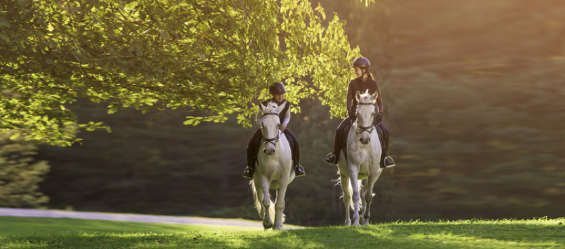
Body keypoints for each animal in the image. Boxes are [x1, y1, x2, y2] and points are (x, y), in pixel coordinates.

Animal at [250, 100, 296, 230]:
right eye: (263, 125)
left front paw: (278, 226)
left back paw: (277, 224)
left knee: (277, 203)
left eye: (278, 124)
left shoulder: (284, 179)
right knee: (261, 199)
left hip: (279, 184)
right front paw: (267, 223)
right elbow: (265, 202)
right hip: (257, 182)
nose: (269, 150)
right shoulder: (263, 178)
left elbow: (280, 204)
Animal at [334, 90, 384, 227]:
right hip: (344, 174)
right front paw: (356, 221)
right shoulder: (353, 169)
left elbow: (368, 196)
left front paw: (365, 220)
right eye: (357, 113)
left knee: (363, 191)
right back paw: (348, 222)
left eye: (373, 113)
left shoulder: (374, 172)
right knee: (347, 197)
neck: (365, 146)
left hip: (375, 174)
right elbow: (355, 196)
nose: (365, 139)